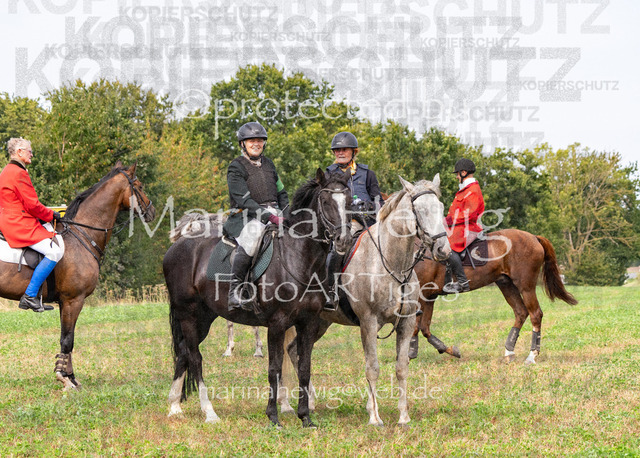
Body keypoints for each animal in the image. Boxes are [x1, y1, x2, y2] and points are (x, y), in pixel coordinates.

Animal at [0, 162, 155, 389]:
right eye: (140, 186)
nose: (152, 211)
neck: (82, 235)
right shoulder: (74, 300)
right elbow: (68, 340)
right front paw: (64, 378)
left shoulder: (65, 302)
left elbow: (66, 337)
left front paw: (70, 376)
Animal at [163, 169, 352, 428]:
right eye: (325, 201)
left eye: (349, 201)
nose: (343, 239)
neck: (298, 258)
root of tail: (176, 247)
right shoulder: (277, 324)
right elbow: (274, 368)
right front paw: (273, 416)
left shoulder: (309, 322)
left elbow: (304, 367)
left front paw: (305, 417)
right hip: (188, 314)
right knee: (194, 356)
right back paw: (209, 412)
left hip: (203, 317)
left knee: (182, 352)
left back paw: (174, 406)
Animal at [283, 175, 451, 426]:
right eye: (419, 210)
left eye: (440, 207)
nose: (443, 249)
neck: (391, 264)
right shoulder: (369, 323)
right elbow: (372, 368)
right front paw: (374, 416)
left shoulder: (406, 323)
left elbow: (402, 367)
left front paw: (403, 416)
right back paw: (286, 405)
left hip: (320, 323)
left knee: (294, 351)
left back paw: (310, 401)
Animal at [411, 229, 578, 364]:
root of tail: (534, 237)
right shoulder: (429, 296)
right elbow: (424, 328)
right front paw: (449, 350)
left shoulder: (420, 296)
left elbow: (415, 326)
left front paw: (410, 353)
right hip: (506, 284)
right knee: (521, 312)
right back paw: (509, 351)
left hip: (526, 287)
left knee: (535, 314)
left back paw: (531, 355)